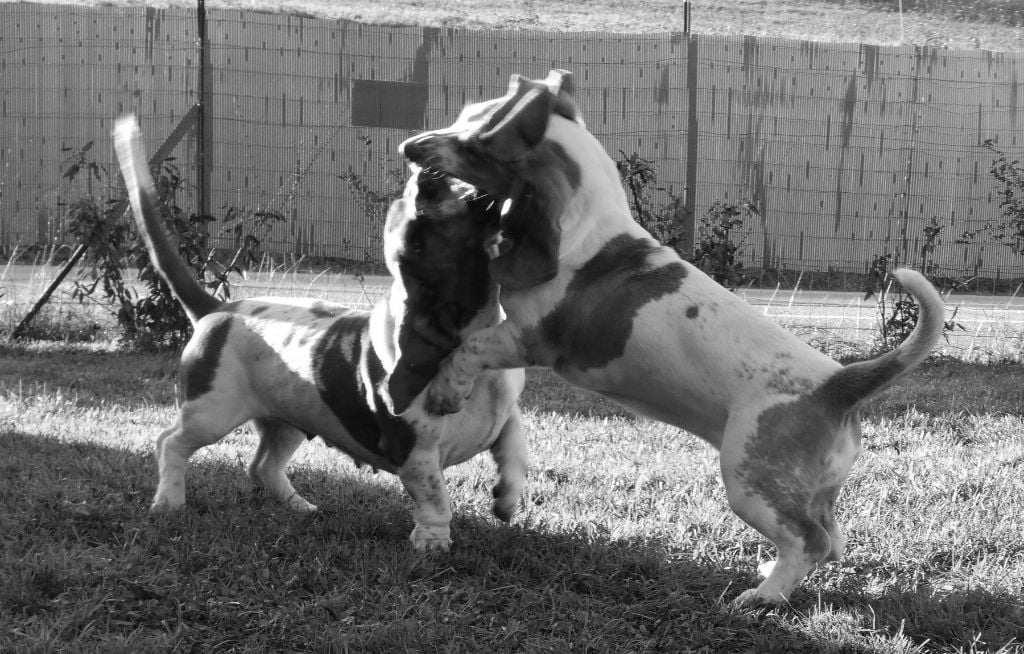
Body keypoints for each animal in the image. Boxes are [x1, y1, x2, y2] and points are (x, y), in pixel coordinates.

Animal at [112, 115, 527, 551]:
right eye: (416, 238)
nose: (425, 175)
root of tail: (219, 310)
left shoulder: (507, 416)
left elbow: (516, 449)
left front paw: (507, 500)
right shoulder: (415, 453)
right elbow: (435, 496)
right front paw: (432, 541)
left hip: (287, 421)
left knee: (262, 466)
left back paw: (300, 506)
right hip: (210, 413)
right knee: (171, 443)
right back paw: (169, 502)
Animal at [399, 70, 946, 604]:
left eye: (475, 145)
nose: (410, 146)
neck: (587, 225)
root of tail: (838, 385)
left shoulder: (526, 338)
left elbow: (468, 350)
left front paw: (446, 392)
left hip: (748, 483)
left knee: (808, 540)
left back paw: (763, 597)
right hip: (812, 489)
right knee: (831, 540)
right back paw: (773, 575)